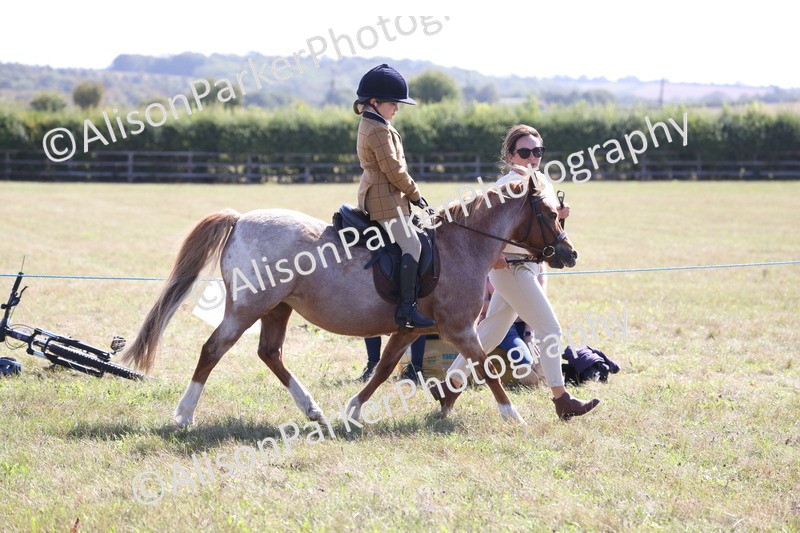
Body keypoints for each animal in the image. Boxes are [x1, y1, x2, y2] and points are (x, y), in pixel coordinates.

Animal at [121, 176, 577, 427]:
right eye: (550, 215)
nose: (569, 255)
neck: (461, 244)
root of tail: (241, 219)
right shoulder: (458, 328)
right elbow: (487, 367)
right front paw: (512, 416)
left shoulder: (409, 329)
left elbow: (384, 368)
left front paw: (354, 410)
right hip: (247, 308)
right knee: (213, 349)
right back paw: (184, 414)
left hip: (277, 308)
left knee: (270, 353)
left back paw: (313, 411)